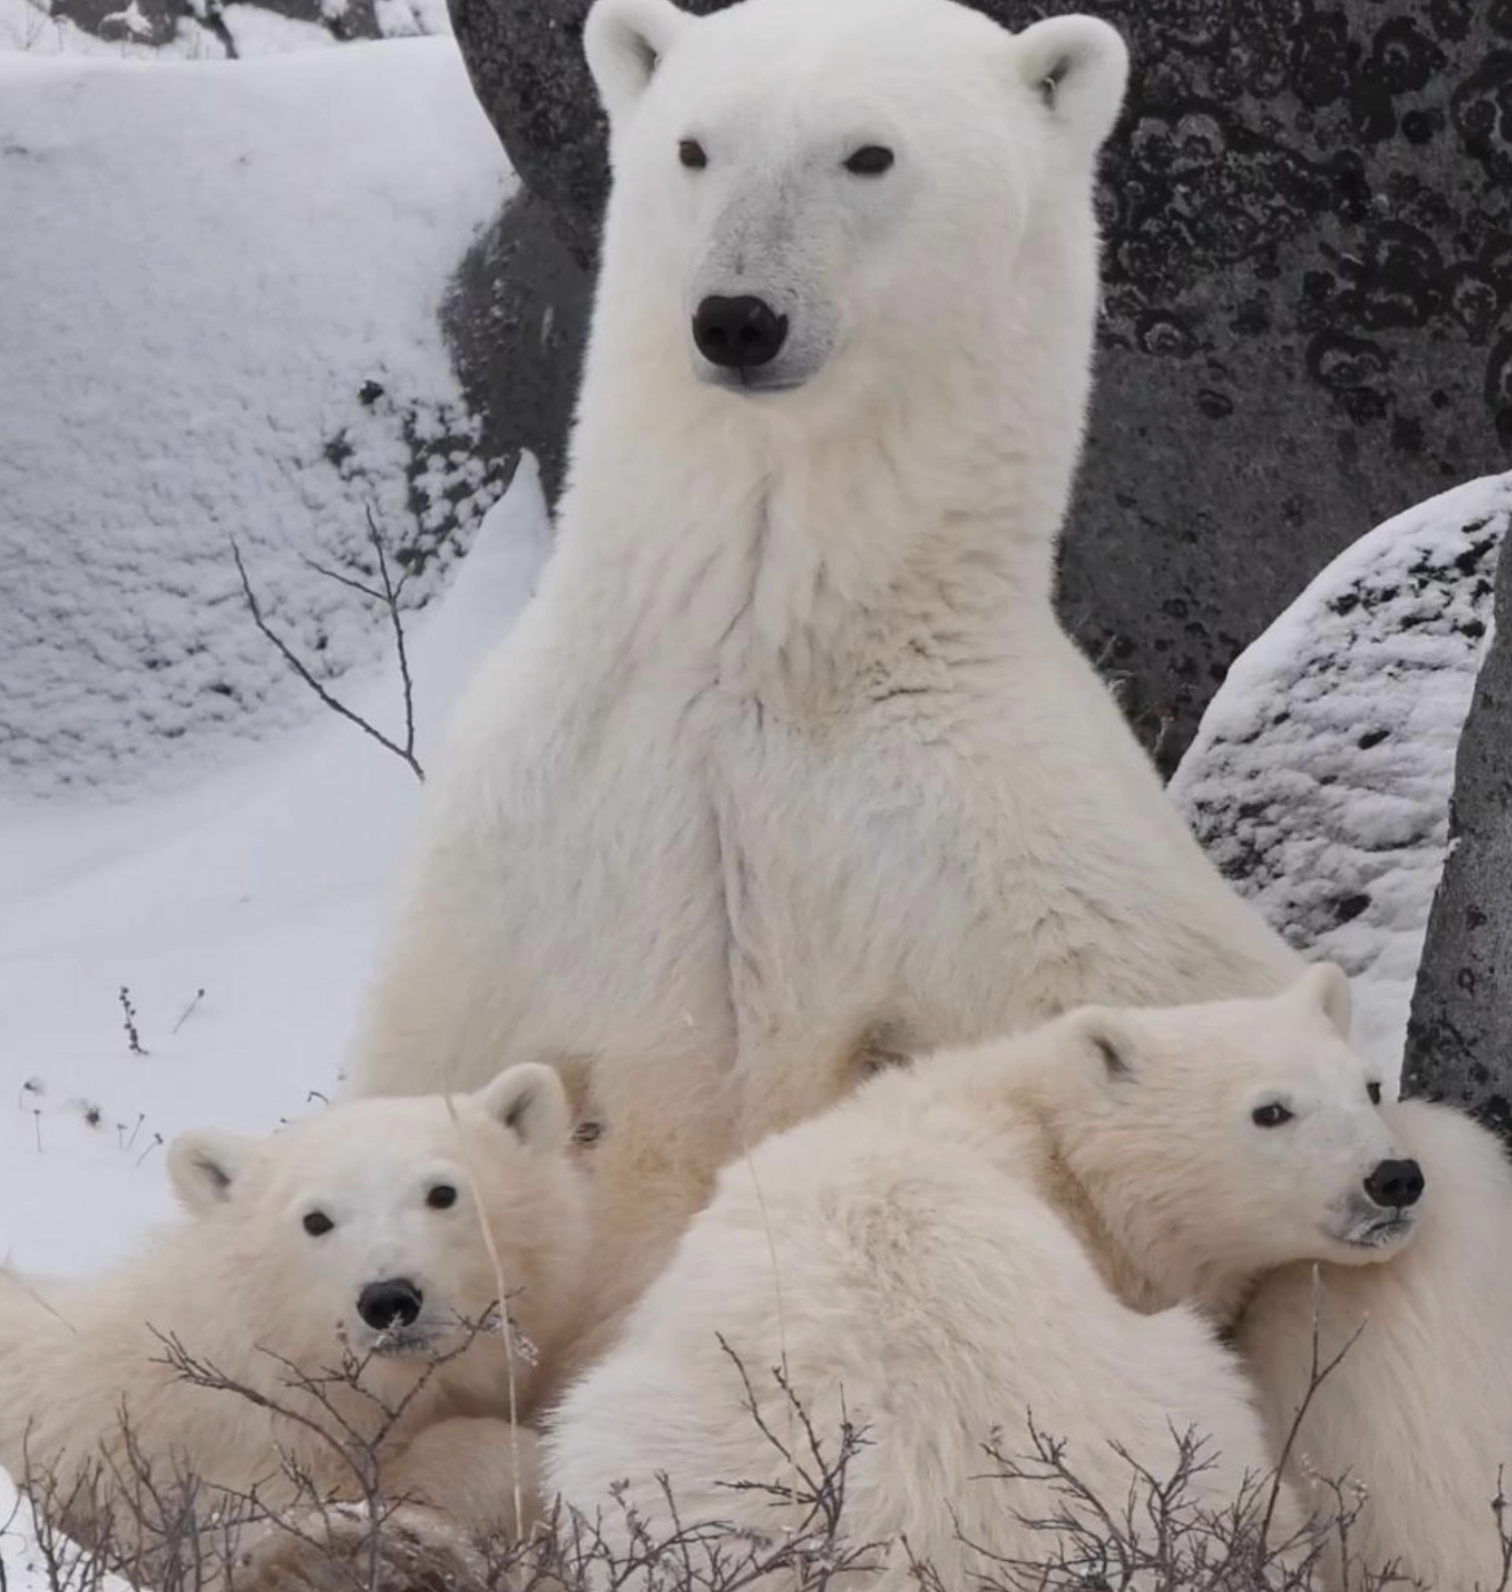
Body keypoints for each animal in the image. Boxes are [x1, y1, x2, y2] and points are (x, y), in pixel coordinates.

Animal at [344, 0, 1300, 1374]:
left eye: (869, 153)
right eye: (695, 145)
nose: (736, 316)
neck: (758, 651)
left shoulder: (1035, 873)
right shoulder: (522, 849)